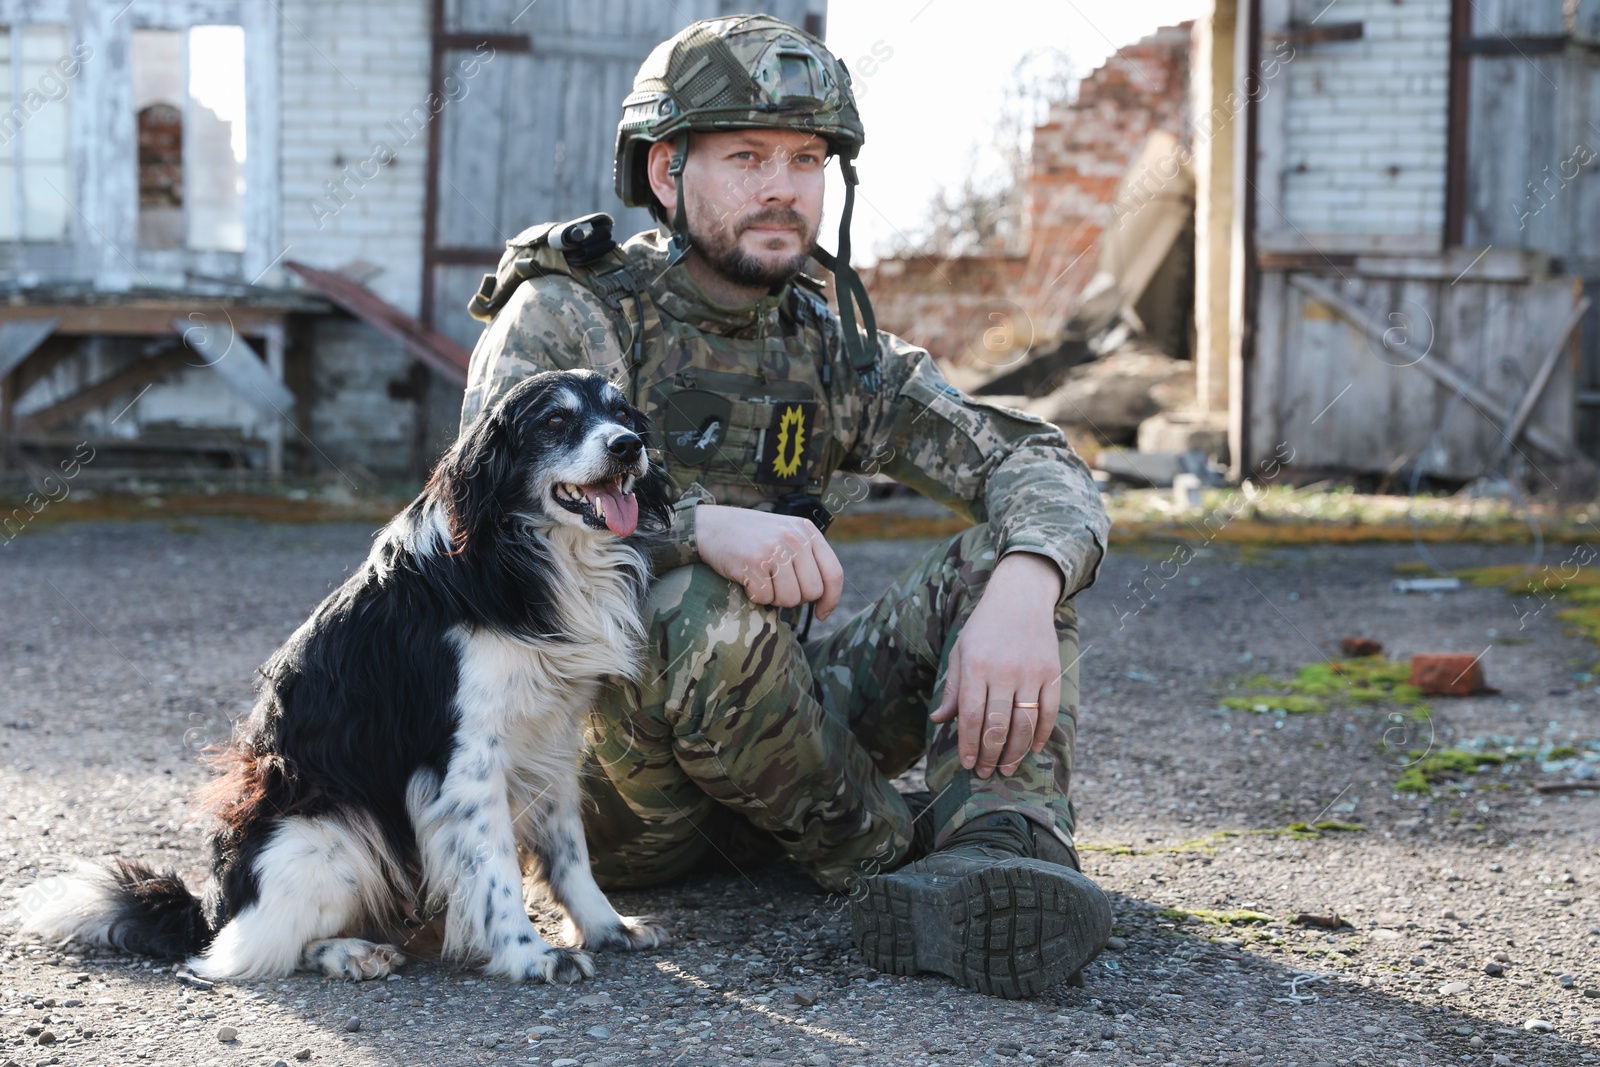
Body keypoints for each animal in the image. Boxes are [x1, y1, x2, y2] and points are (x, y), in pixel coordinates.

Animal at [15, 369, 672, 985]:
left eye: (621, 413)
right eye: (556, 421)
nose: (629, 446)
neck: (522, 553)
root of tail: (211, 909)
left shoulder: (552, 736)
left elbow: (569, 850)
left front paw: (606, 926)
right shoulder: (465, 759)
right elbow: (496, 869)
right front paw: (529, 954)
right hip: (329, 832)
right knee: (247, 952)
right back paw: (350, 953)